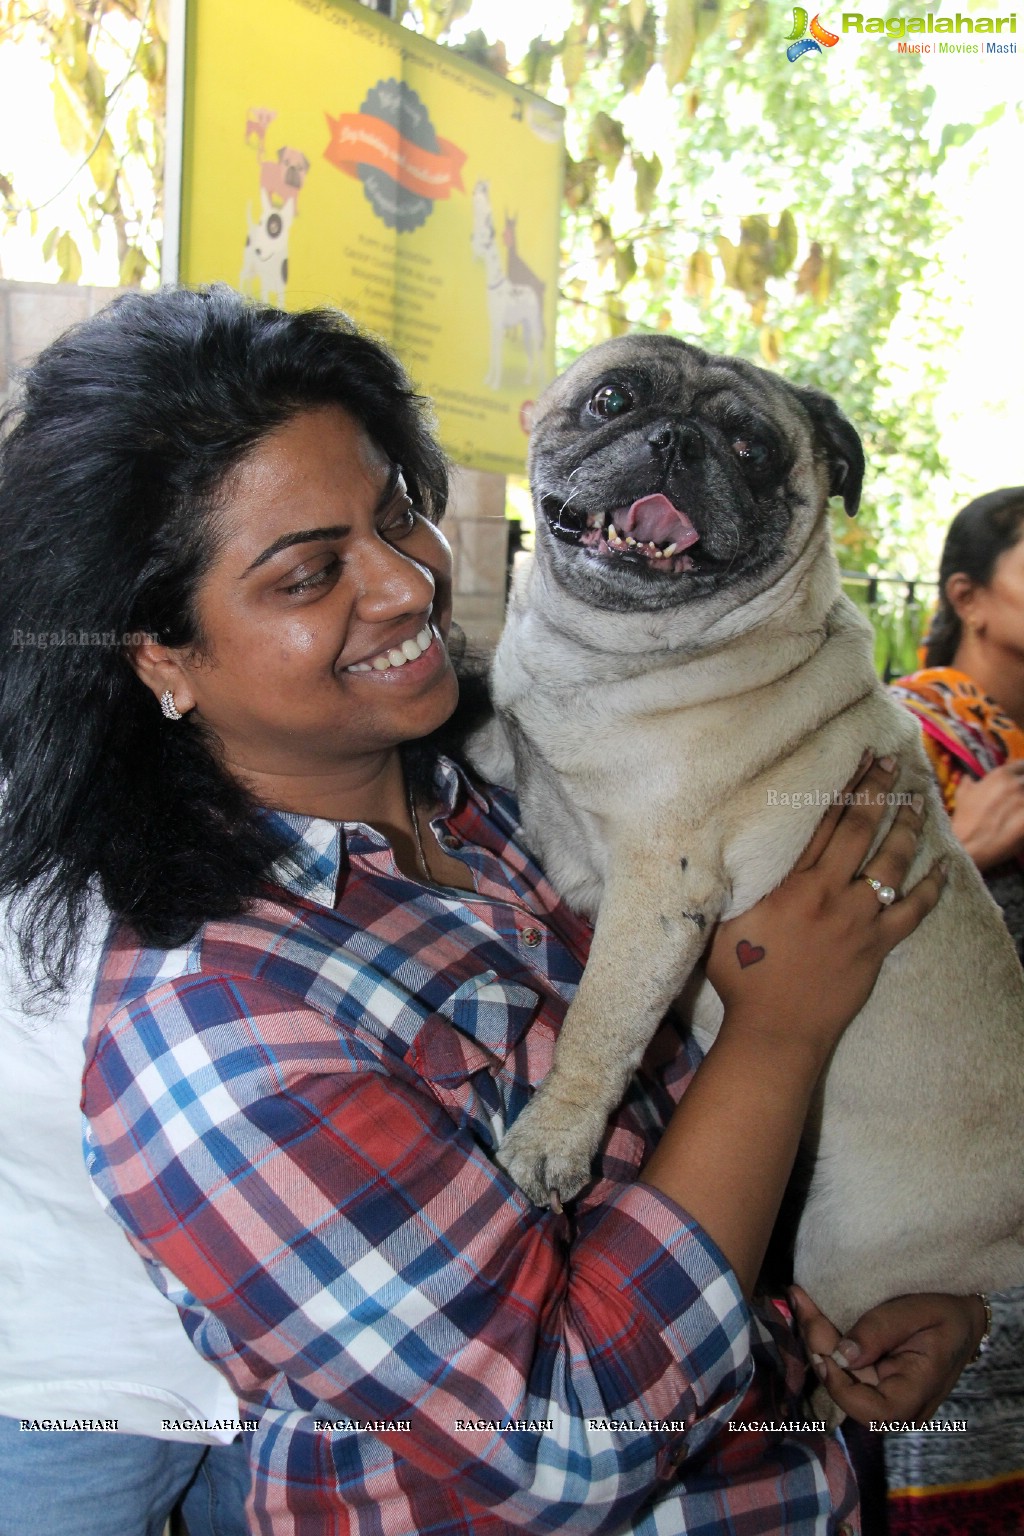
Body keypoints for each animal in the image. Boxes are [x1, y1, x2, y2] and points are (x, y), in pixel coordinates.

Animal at [472, 333, 1024, 1333]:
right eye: (614, 399)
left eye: (752, 451)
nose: (677, 443)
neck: (604, 657)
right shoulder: (511, 754)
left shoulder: (659, 895)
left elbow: (599, 1027)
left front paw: (553, 1141)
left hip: (849, 1247)